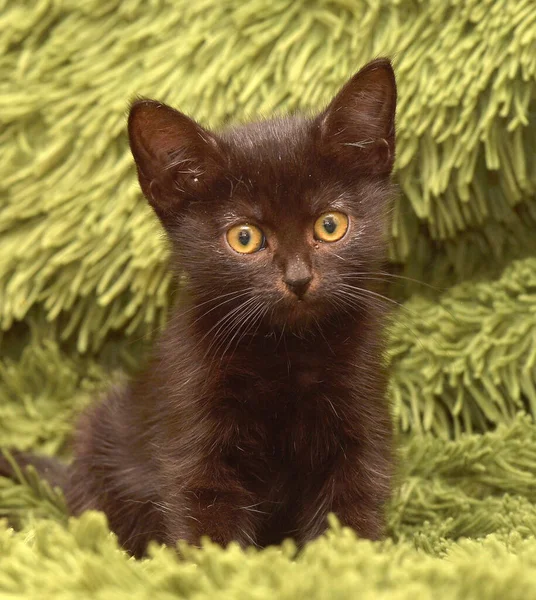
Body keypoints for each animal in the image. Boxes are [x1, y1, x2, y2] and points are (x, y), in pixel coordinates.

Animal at [1, 58, 398, 556]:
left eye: (330, 225)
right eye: (244, 237)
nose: (298, 278)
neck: (284, 352)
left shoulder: (357, 423)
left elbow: (350, 510)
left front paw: (346, 562)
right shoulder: (194, 433)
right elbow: (208, 520)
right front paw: (218, 568)